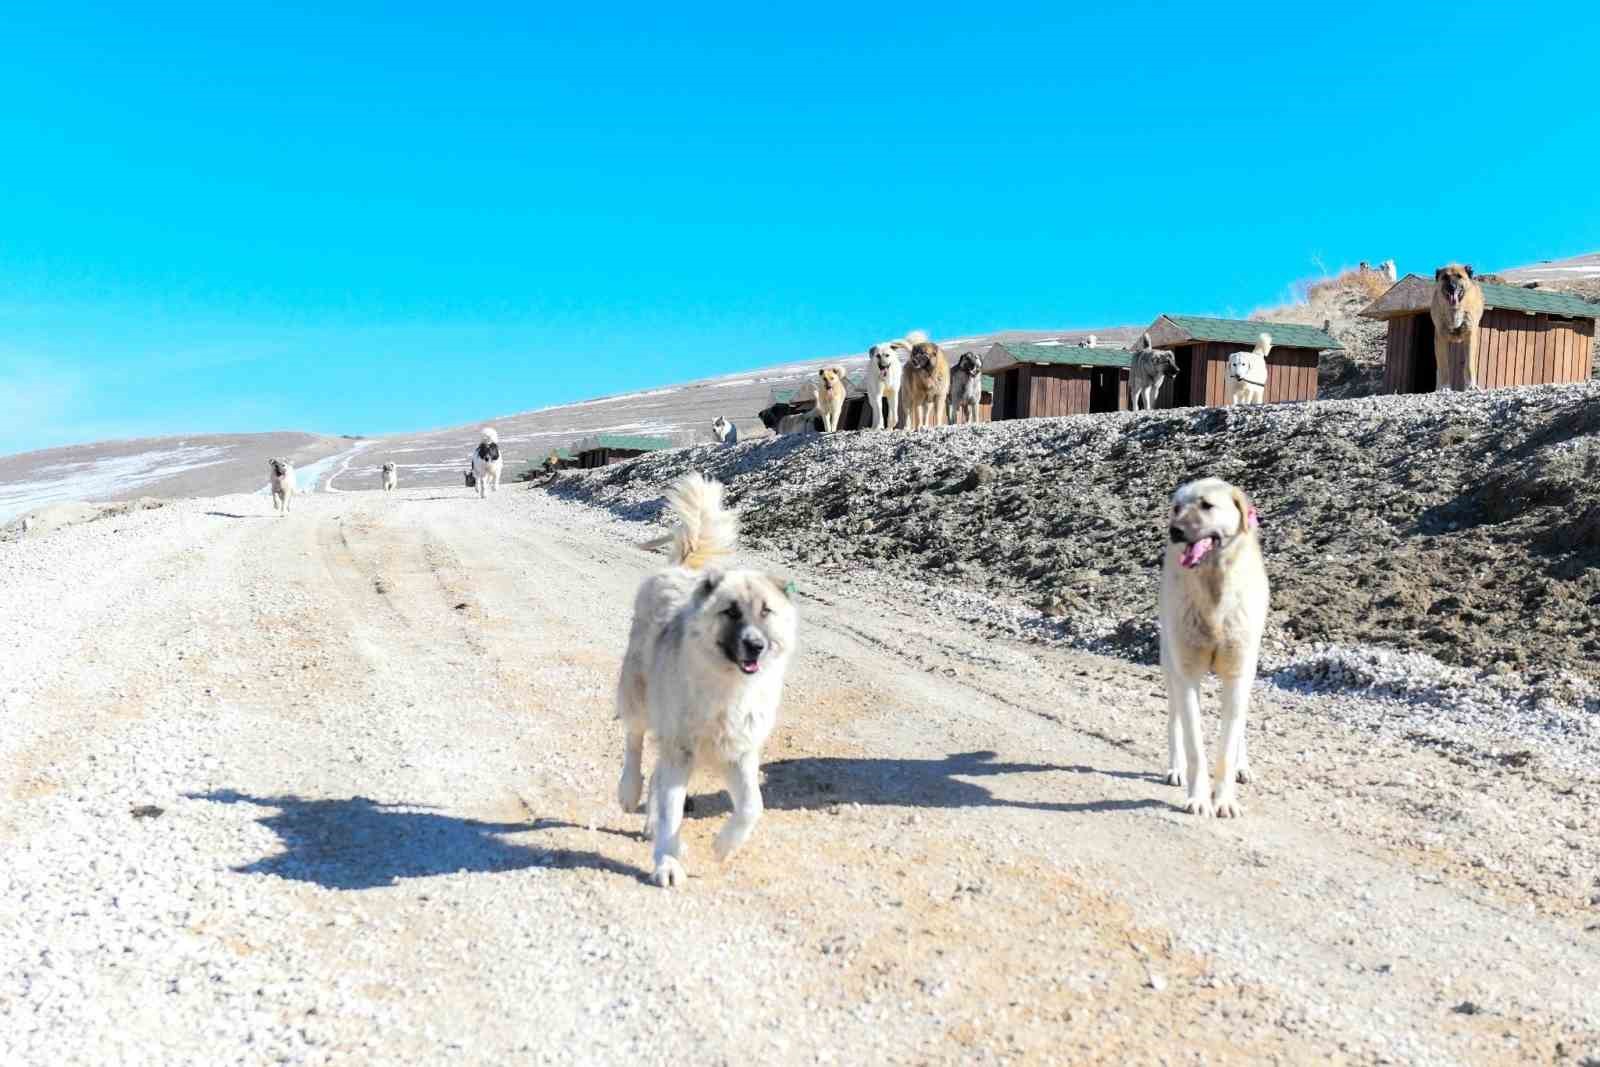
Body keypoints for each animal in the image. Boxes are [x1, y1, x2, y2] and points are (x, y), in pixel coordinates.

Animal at [614, 473, 796, 883]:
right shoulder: (680, 747)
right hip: (639, 694)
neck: (728, 687)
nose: (755, 646)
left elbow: (753, 806)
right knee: (634, 742)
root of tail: (679, 570)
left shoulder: (739, 753)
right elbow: (672, 810)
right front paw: (667, 862)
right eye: (731, 611)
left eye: (766, 611)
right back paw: (629, 791)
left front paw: (723, 846)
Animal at [1158, 479, 1267, 825]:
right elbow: (1195, 746)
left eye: (1207, 505)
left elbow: (1227, 747)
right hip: (1171, 666)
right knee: (1175, 721)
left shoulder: (1238, 673)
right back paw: (1175, 768)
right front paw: (1198, 799)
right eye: (1177, 507)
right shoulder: (1188, 674)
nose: (1175, 531)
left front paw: (1225, 800)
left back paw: (1243, 766)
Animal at [1433, 262, 1478, 391]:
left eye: (1459, 276)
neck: (1455, 310)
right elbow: (1443, 367)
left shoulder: (1470, 336)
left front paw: (1471, 385)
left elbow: (1469, 365)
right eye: (1445, 277)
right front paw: (1444, 386)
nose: (1452, 287)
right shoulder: (1440, 339)